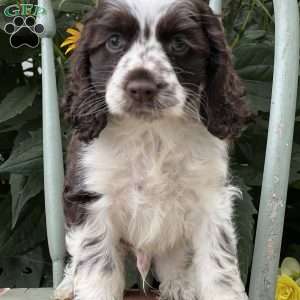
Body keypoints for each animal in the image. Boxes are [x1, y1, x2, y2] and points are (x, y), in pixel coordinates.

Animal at [55, 0, 250, 300]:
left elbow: (219, 262)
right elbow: (98, 263)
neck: (151, 133)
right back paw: (67, 286)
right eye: (114, 41)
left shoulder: (210, 198)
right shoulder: (92, 198)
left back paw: (179, 285)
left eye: (179, 44)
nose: (141, 88)